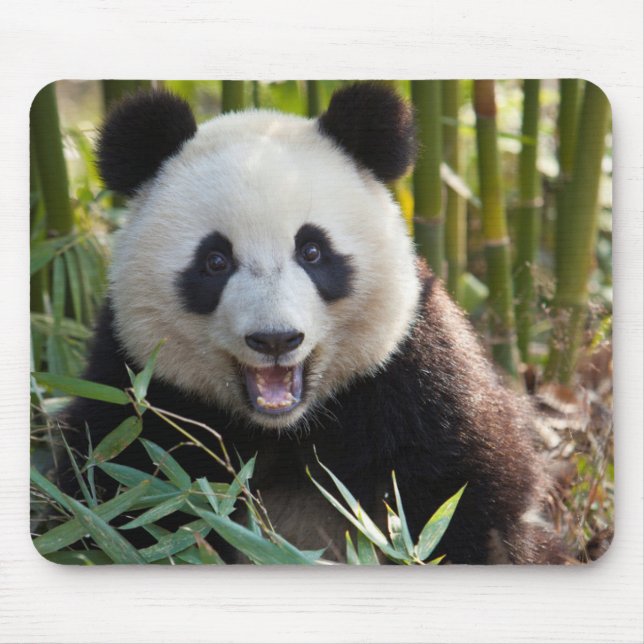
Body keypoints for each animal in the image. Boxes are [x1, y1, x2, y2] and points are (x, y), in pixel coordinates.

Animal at [60, 82, 562, 564]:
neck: (285, 428)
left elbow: (468, 498)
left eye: (313, 251)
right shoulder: (138, 395)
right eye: (215, 261)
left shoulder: (416, 379)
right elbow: (121, 504)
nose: (275, 339)